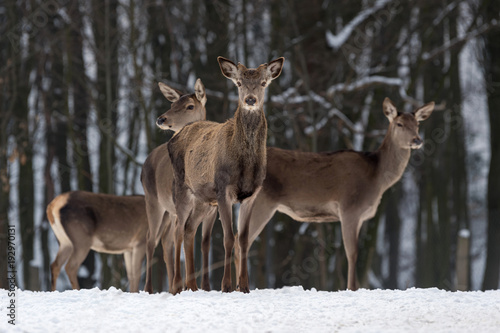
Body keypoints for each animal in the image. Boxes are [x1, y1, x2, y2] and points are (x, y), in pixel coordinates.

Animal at [141, 76, 213, 292]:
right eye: (172, 104)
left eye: (190, 106)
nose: (161, 119)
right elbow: (182, 235)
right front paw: (184, 284)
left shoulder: (211, 210)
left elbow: (205, 243)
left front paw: (206, 286)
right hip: (153, 201)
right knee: (151, 240)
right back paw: (151, 287)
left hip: (168, 210)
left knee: (166, 241)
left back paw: (174, 284)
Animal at [168, 57, 286, 294]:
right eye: (239, 83)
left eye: (263, 83)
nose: (250, 100)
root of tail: (175, 136)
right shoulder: (223, 191)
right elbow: (228, 238)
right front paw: (227, 286)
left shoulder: (251, 195)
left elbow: (244, 239)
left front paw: (245, 286)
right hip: (181, 188)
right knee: (177, 230)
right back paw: (177, 286)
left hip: (203, 200)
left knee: (189, 230)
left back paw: (193, 286)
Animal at [232, 97, 436, 290]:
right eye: (399, 124)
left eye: (417, 124)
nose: (417, 140)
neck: (376, 178)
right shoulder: (350, 208)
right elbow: (352, 253)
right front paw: (352, 288)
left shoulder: (360, 216)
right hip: (262, 203)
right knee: (241, 241)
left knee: (239, 240)